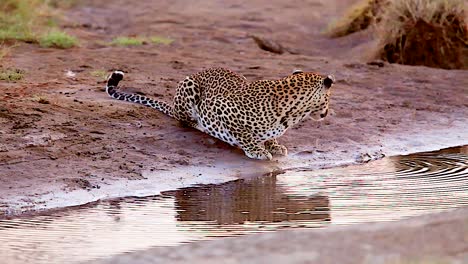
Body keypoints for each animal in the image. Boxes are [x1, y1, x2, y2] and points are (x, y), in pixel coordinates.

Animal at [106, 67, 332, 160]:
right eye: (329, 98)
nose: (327, 112)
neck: (292, 114)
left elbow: (270, 137)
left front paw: (274, 146)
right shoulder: (221, 108)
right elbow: (244, 134)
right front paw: (257, 150)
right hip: (188, 87)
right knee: (183, 120)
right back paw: (198, 125)